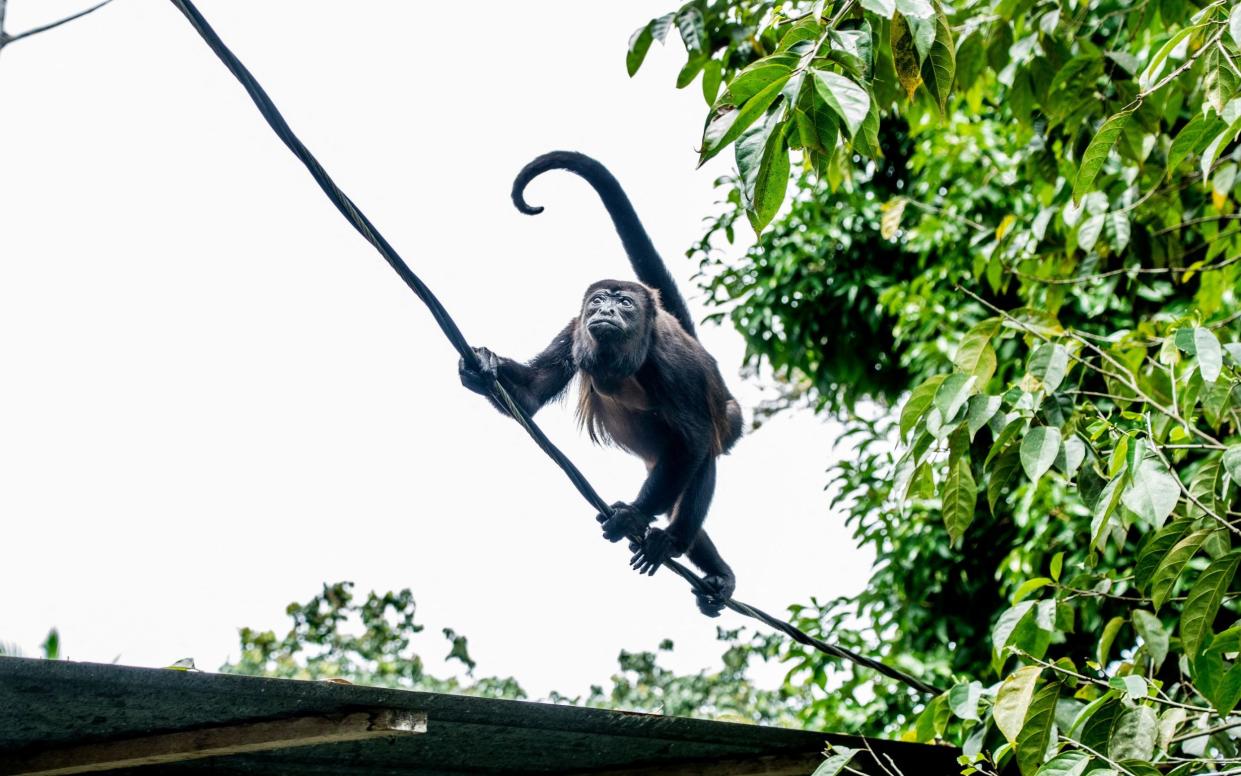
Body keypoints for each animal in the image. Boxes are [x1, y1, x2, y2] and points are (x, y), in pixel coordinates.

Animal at [459, 151, 739, 613]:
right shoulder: (576, 330)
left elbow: (696, 440)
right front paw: (483, 365)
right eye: (597, 300)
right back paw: (716, 573)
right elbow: (532, 394)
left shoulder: (670, 364)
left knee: (704, 453)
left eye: (623, 302)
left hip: (731, 417)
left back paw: (675, 543)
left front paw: (635, 516)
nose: (606, 310)